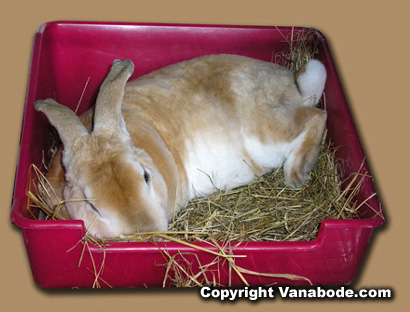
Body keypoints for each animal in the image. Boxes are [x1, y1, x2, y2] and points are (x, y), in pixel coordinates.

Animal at [36, 54, 328, 239]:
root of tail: (293, 85)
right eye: (91, 206)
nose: (146, 232)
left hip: (264, 132)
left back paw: (296, 175)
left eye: (145, 176)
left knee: (316, 116)